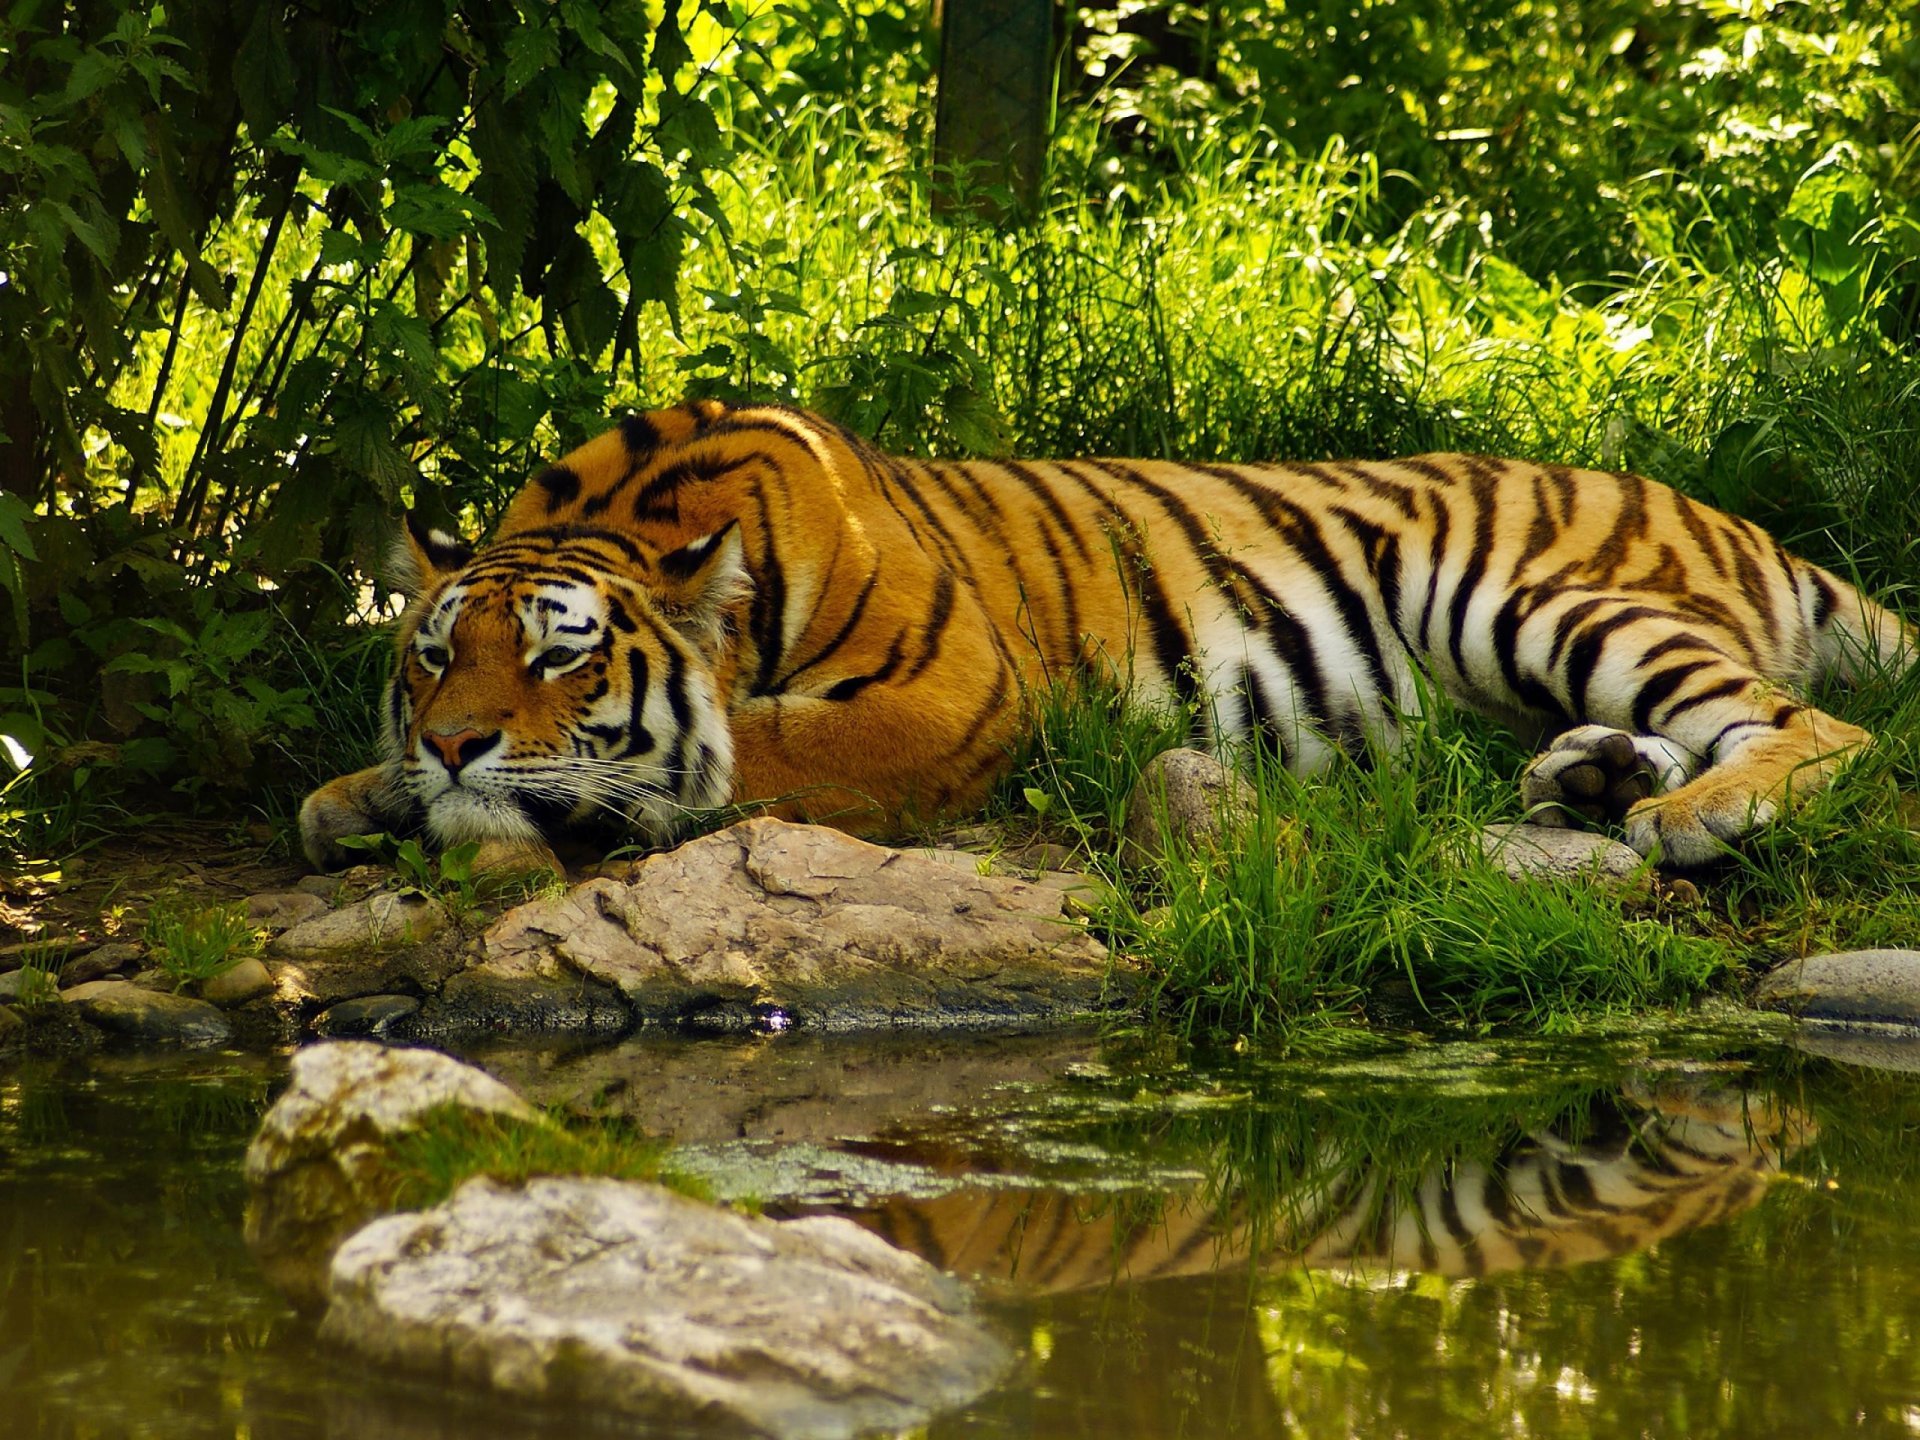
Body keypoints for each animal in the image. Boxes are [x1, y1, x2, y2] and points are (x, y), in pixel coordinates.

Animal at [299, 398, 1913, 873]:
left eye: (562, 655)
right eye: (434, 654)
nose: (455, 745)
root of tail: (1727, 515)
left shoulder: (949, 698)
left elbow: (747, 753)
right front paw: (360, 793)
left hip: (1529, 593)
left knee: (1819, 727)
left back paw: (1695, 814)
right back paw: (1593, 780)